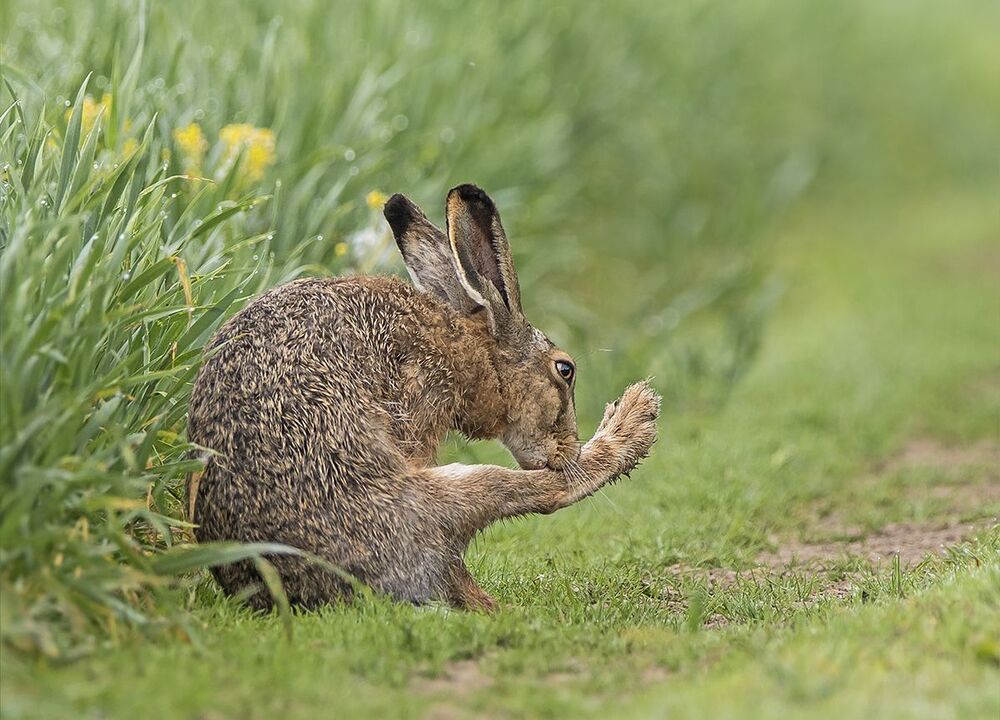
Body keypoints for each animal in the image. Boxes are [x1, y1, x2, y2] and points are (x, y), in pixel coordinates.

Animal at [187, 184, 660, 611]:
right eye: (565, 369)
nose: (566, 450)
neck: (466, 348)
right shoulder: (419, 399)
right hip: (437, 493)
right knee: (537, 495)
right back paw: (634, 421)